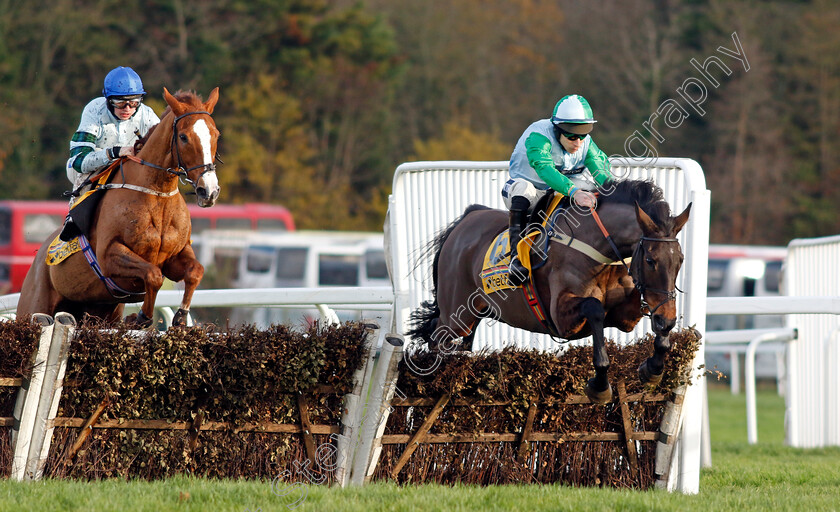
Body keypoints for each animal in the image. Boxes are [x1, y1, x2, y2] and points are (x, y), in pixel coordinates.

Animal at [19, 88, 223, 328]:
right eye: (183, 137)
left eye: (216, 134)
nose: (209, 191)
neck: (156, 196)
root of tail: (38, 259)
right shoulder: (109, 256)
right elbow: (154, 275)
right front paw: (141, 317)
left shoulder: (176, 255)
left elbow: (194, 271)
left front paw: (181, 317)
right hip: (34, 303)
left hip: (101, 312)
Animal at [406, 180, 688, 404]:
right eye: (650, 260)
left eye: (680, 260)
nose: (668, 317)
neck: (596, 247)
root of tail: (467, 218)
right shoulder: (562, 319)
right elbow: (594, 308)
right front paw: (599, 384)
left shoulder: (625, 317)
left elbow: (643, 314)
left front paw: (654, 366)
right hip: (457, 316)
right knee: (437, 340)